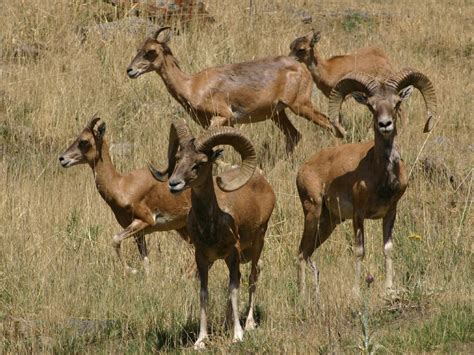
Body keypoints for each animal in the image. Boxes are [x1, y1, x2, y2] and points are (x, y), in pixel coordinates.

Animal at [148, 121, 274, 350]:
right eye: (178, 158)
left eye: (200, 163)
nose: (174, 183)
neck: (213, 223)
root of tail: (263, 181)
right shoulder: (202, 258)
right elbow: (205, 293)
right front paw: (201, 340)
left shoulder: (232, 255)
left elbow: (234, 289)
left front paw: (238, 336)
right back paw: (227, 322)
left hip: (258, 244)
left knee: (253, 276)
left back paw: (249, 324)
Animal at [296, 68, 436, 296]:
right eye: (371, 105)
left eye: (397, 102)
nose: (385, 124)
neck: (382, 177)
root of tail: (302, 170)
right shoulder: (358, 215)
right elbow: (359, 251)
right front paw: (356, 291)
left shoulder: (390, 213)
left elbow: (387, 249)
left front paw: (388, 288)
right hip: (313, 213)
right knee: (301, 252)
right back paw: (301, 296)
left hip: (329, 222)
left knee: (306, 252)